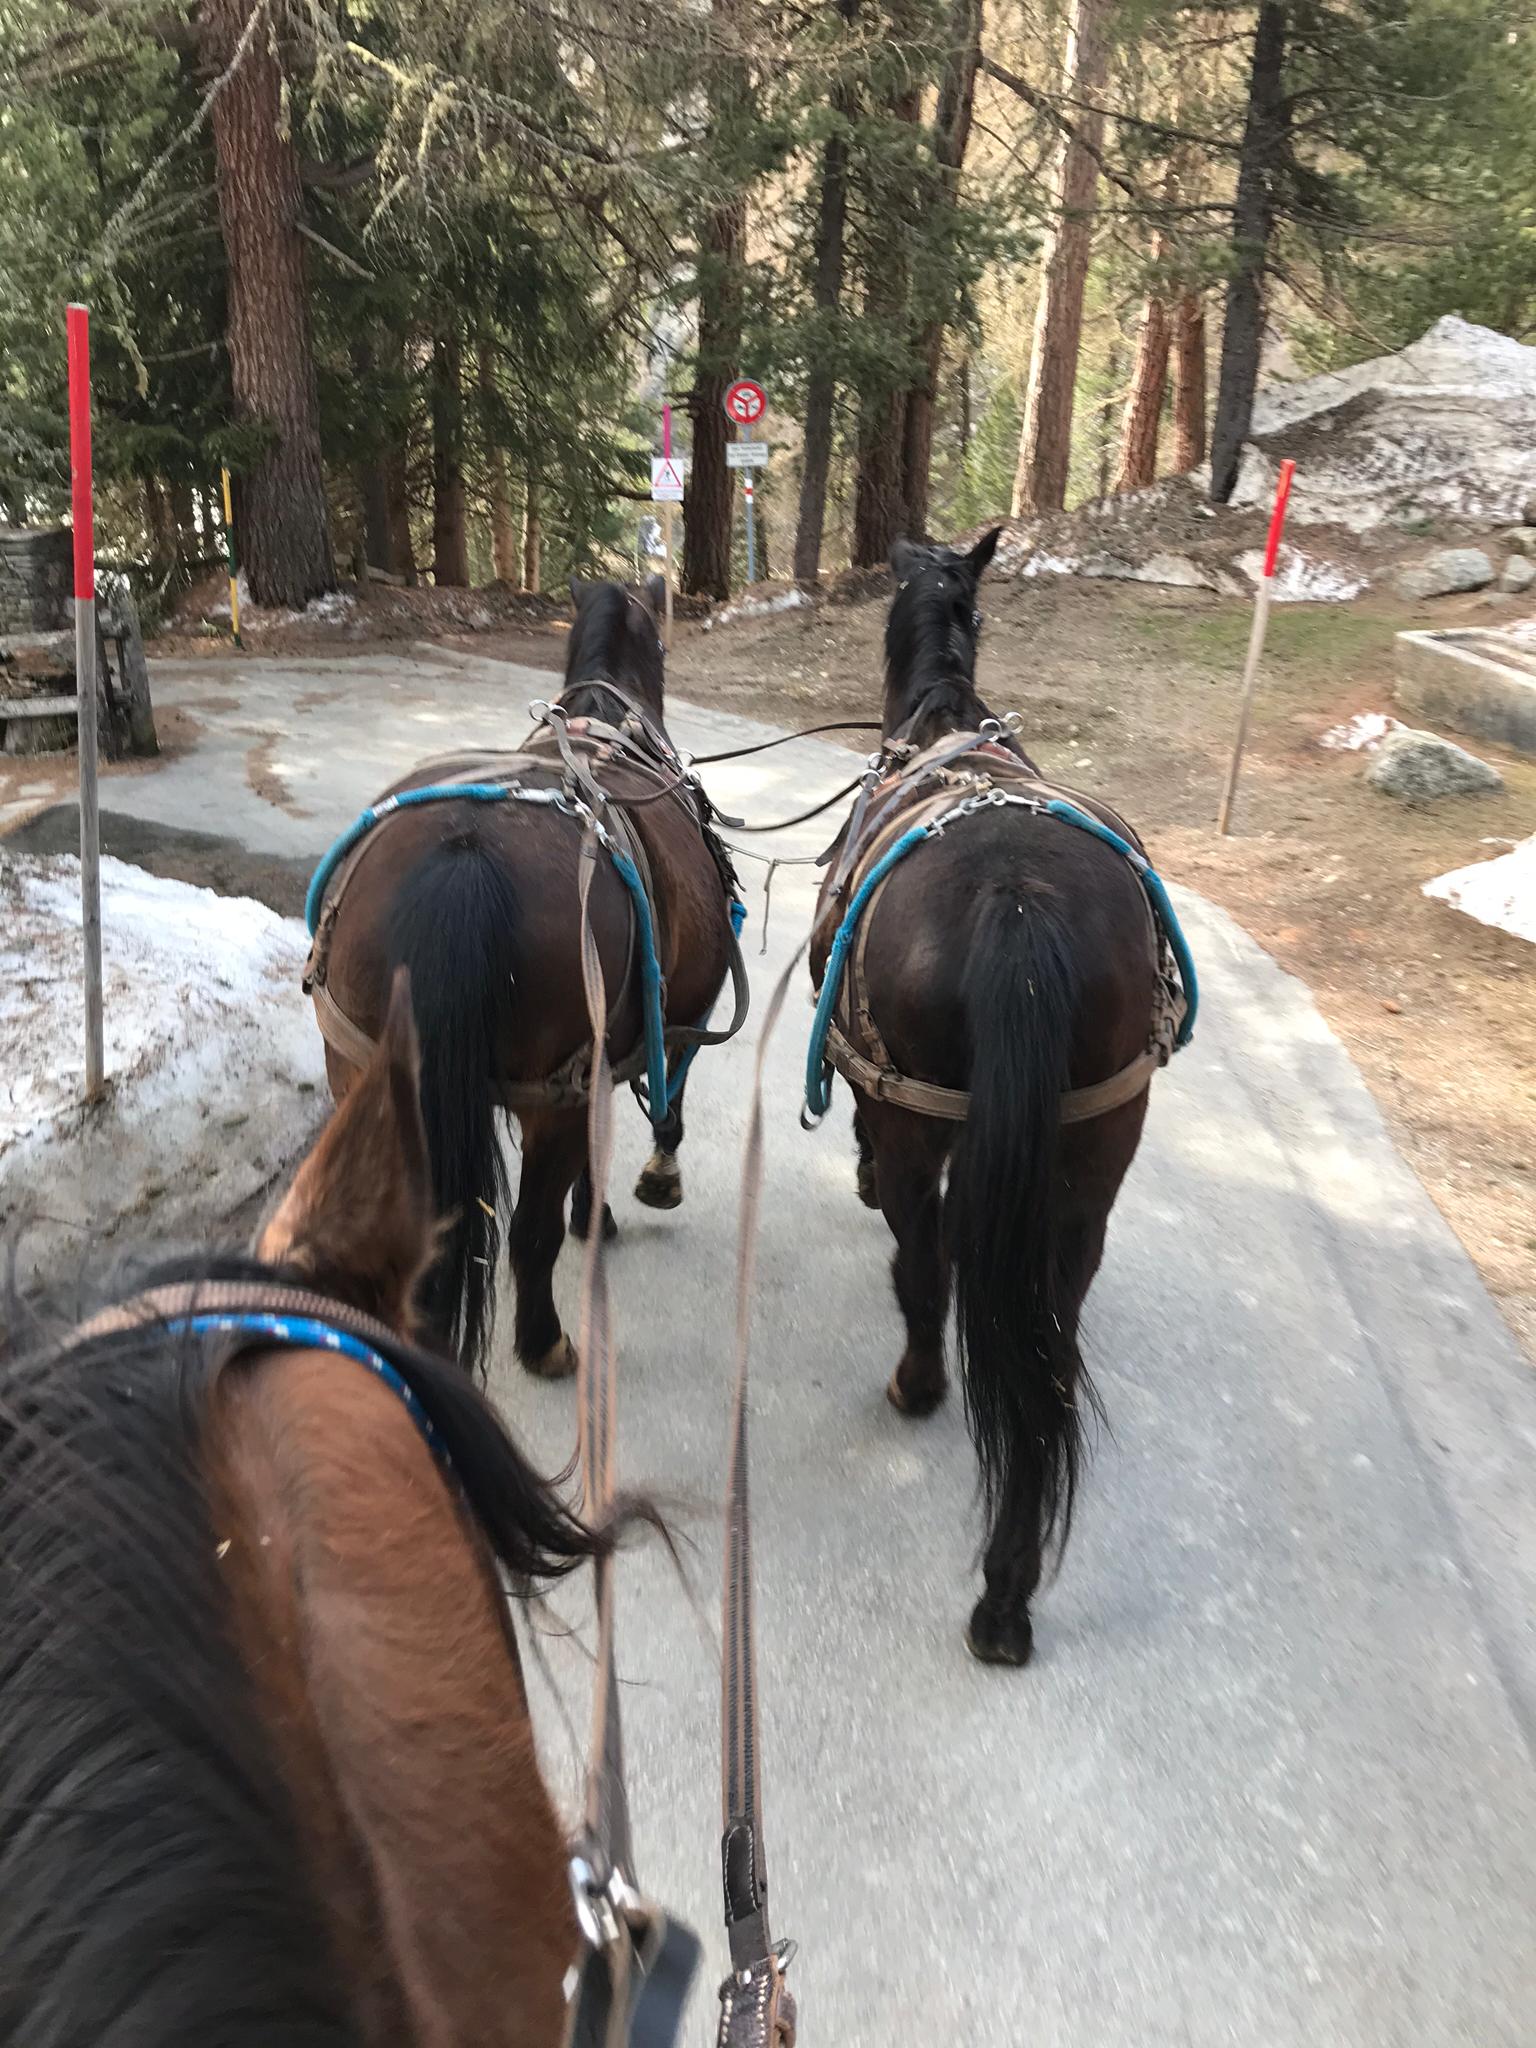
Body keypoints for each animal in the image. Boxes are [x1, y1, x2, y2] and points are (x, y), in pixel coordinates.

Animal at [305, 577, 741, 1376]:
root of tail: (465, 849)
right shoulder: (673, 1024)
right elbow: (656, 1109)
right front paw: (637, 1191)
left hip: (360, 1073)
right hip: (552, 1099)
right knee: (533, 1234)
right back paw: (546, 1343)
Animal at [811, 528, 1196, 1662]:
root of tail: (1017, 896)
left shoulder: (890, 1109)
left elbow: (917, 1245)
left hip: (918, 1125)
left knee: (921, 1259)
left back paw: (920, 1387)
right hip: (1092, 1160)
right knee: (1046, 1353)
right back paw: (1010, 1588)